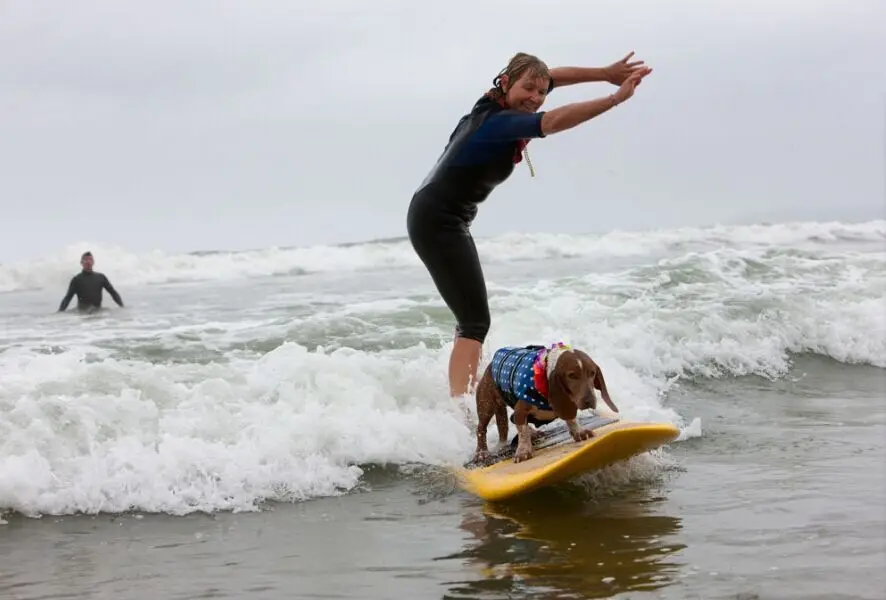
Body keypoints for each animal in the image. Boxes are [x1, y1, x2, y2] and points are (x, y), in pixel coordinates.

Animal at [476, 342, 620, 464]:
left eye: (592, 373)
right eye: (571, 375)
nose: (589, 400)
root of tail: (490, 365)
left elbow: (572, 419)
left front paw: (578, 431)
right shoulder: (520, 411)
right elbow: (523, 431)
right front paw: (523, 451)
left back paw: (534, 433)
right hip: (486, 406)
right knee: (481, 429)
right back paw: (481, 453)